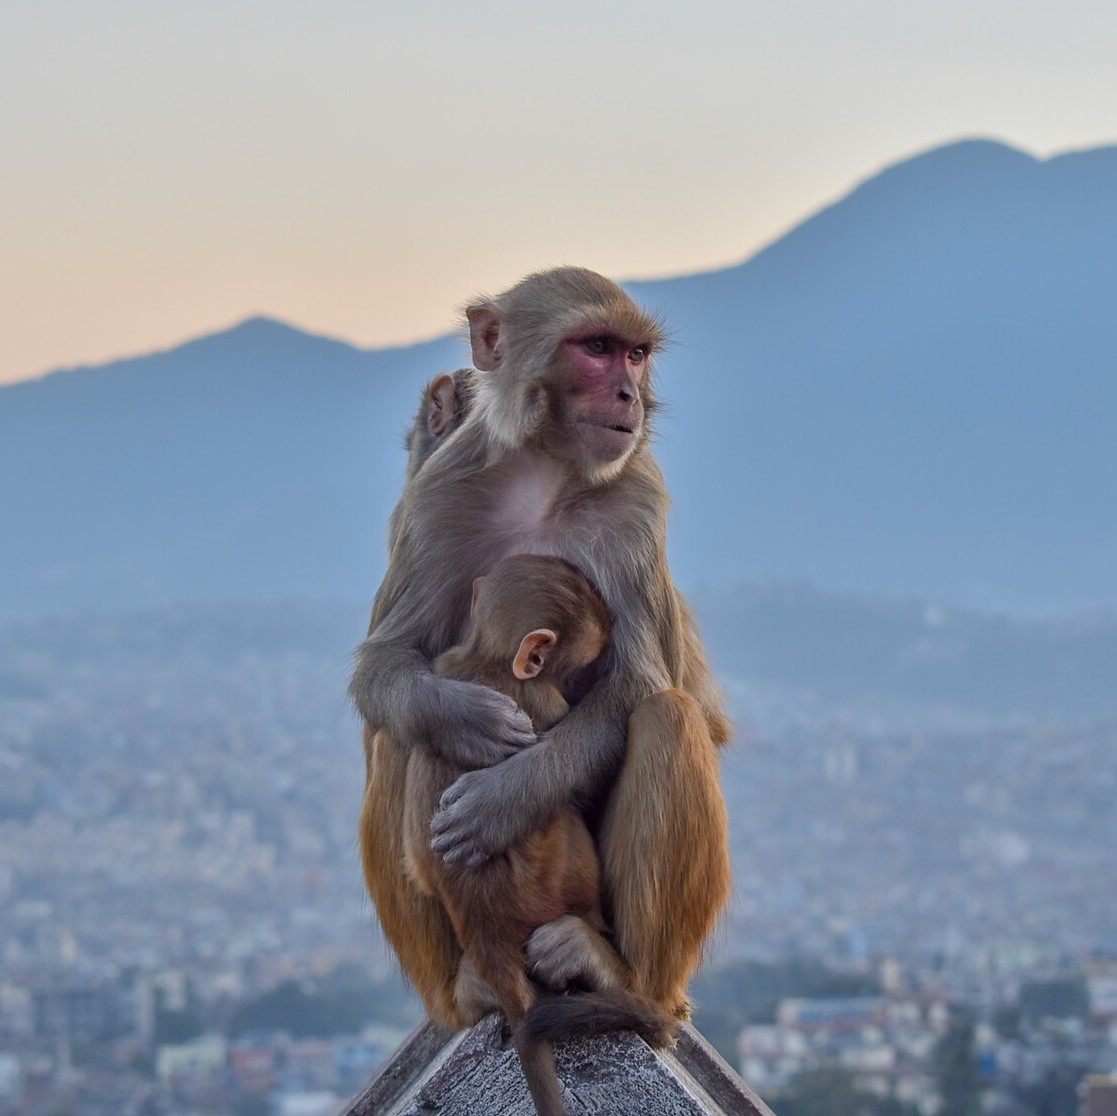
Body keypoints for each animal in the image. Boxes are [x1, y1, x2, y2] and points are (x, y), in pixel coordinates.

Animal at [352, 267, 731, 1030]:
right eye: (596, 348)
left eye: (635, 354)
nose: (628, 394)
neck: (546, 469)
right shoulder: (440, 496)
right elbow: (386, 661)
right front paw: (465, 718)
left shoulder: (636, 502)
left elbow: (635, 686)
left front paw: (499, 801)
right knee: (394, 732)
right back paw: (465, 990)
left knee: (668, 717)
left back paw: (625, 980)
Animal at [404, 553, 675, 1115]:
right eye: (572, 668)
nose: (579, 684)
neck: (488, 658)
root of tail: (488, 936)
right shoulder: (542, 698)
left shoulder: (447, 666)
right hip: (557, 879)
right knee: (563, 821)